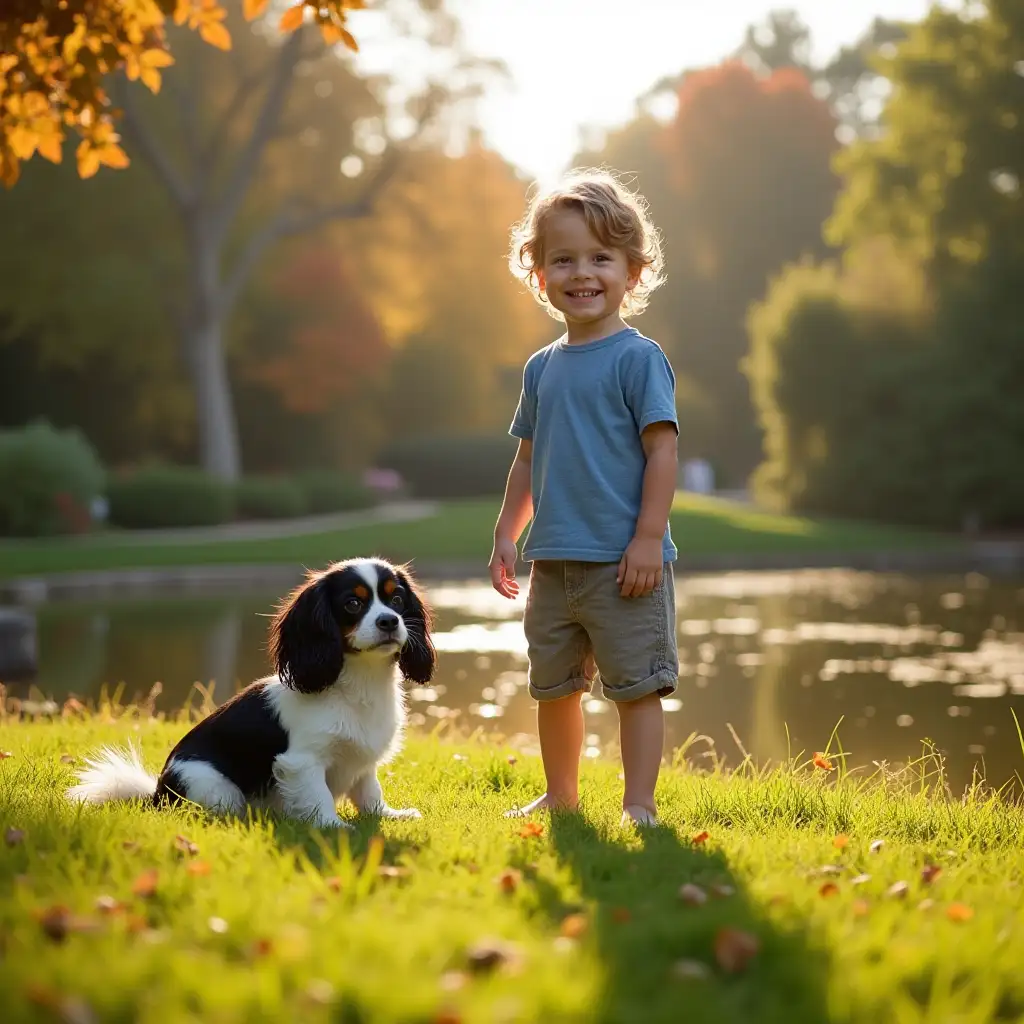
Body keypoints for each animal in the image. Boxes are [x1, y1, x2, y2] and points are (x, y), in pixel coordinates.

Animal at [64, 557, 432, 827]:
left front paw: (388, 816)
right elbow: (318, 796)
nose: (389, 621)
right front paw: (334, 828)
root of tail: (157, 793)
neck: (359, 681)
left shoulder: (363, 761)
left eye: (397, 600)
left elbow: (370, 791)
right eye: (353, 603)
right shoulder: (302, 761)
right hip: (214, 787)